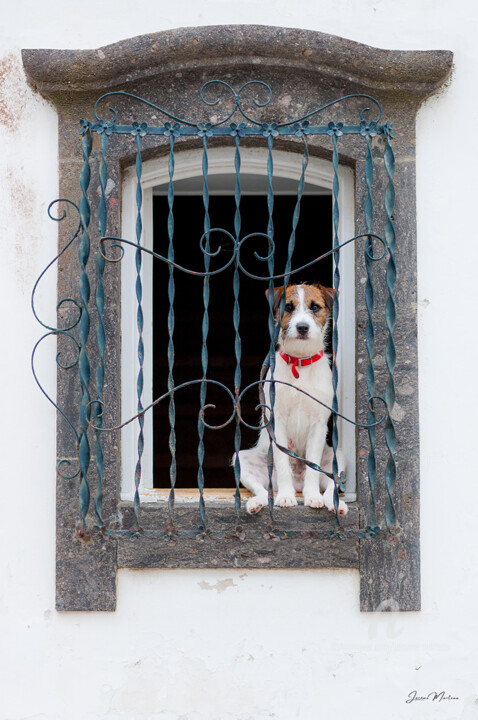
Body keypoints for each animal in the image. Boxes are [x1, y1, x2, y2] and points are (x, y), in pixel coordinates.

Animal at [235, 280, 348, 512]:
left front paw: (312, 496)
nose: (302, 327)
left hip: (337, 457)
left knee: (331, 486)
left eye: (315, 307)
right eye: (288, 307)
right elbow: (282, 462)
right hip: (241, 459)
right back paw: (258, 502)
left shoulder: (317, 425)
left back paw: (335, 504)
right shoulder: (277, 424)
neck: (300, 361)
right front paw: (286, 497)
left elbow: (313, 468)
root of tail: (298, 483)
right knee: (263, 489)